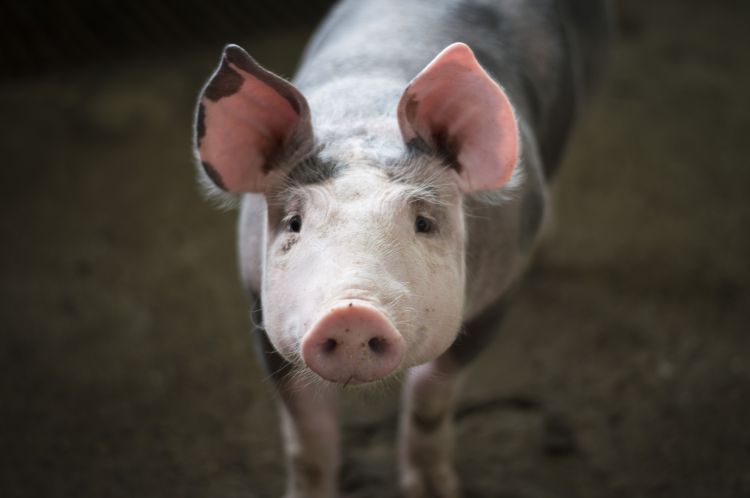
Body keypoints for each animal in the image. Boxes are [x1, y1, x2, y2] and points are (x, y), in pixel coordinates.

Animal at [193, 0, 610, 496]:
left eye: (423, 223)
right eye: (295, 222)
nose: (351, 312)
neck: (365, 121)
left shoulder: (497, 295)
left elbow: (431, 399)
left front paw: (435, 489)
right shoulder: (260, 305)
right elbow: (307, 434)